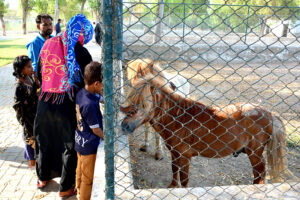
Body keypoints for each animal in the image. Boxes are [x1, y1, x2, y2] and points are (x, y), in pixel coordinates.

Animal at [120, 73, 292, 188]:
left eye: (143, 104)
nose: (124, 126)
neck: (179, 118)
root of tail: (270, 114)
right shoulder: (175, 153)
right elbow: (174, 170)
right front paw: (172, 187)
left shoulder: (185, 156)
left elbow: (184, 179)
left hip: (255, 154)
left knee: (259, 175)